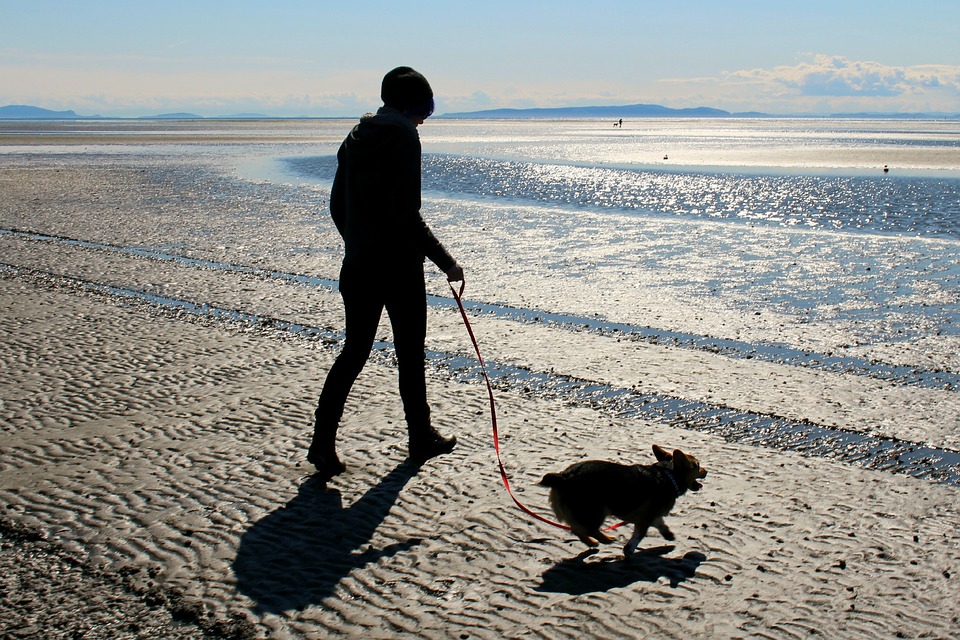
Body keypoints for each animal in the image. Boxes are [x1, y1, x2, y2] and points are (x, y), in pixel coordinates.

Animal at [540, 444, 704, 556]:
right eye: (698, 465)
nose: (706, 471)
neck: (668, 474)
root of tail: (563, 477)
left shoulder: (651, 514)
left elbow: (660, 523)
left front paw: (668, 534)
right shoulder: (646, 517)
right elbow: (639, 534)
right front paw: (629, 549)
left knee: (577, 529)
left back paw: (592, 542)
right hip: (597, 510)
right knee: (588, 528)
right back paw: (605, 539)